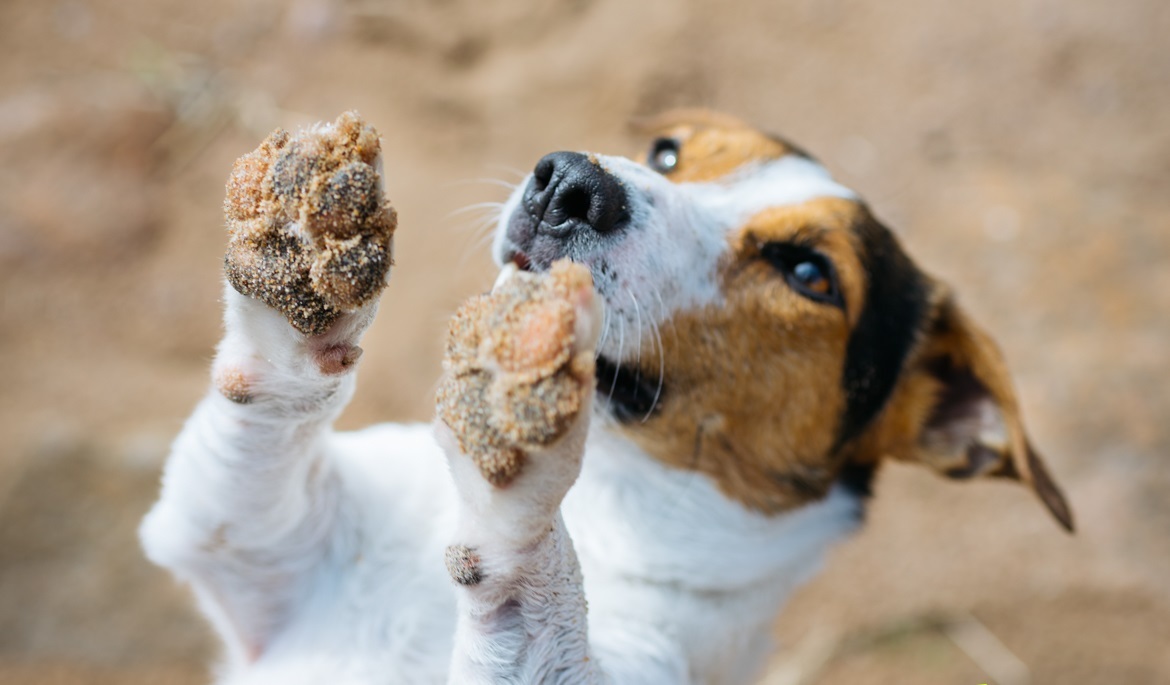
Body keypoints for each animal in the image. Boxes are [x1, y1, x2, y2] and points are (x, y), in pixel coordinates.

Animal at [141, 109, 1071, 679]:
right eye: (668, 151)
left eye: (809, 272)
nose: (569, 182)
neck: (610, 505)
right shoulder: (244, 550)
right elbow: (258, 424)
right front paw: (303, 238)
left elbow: (529, 565)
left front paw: (513, 448)